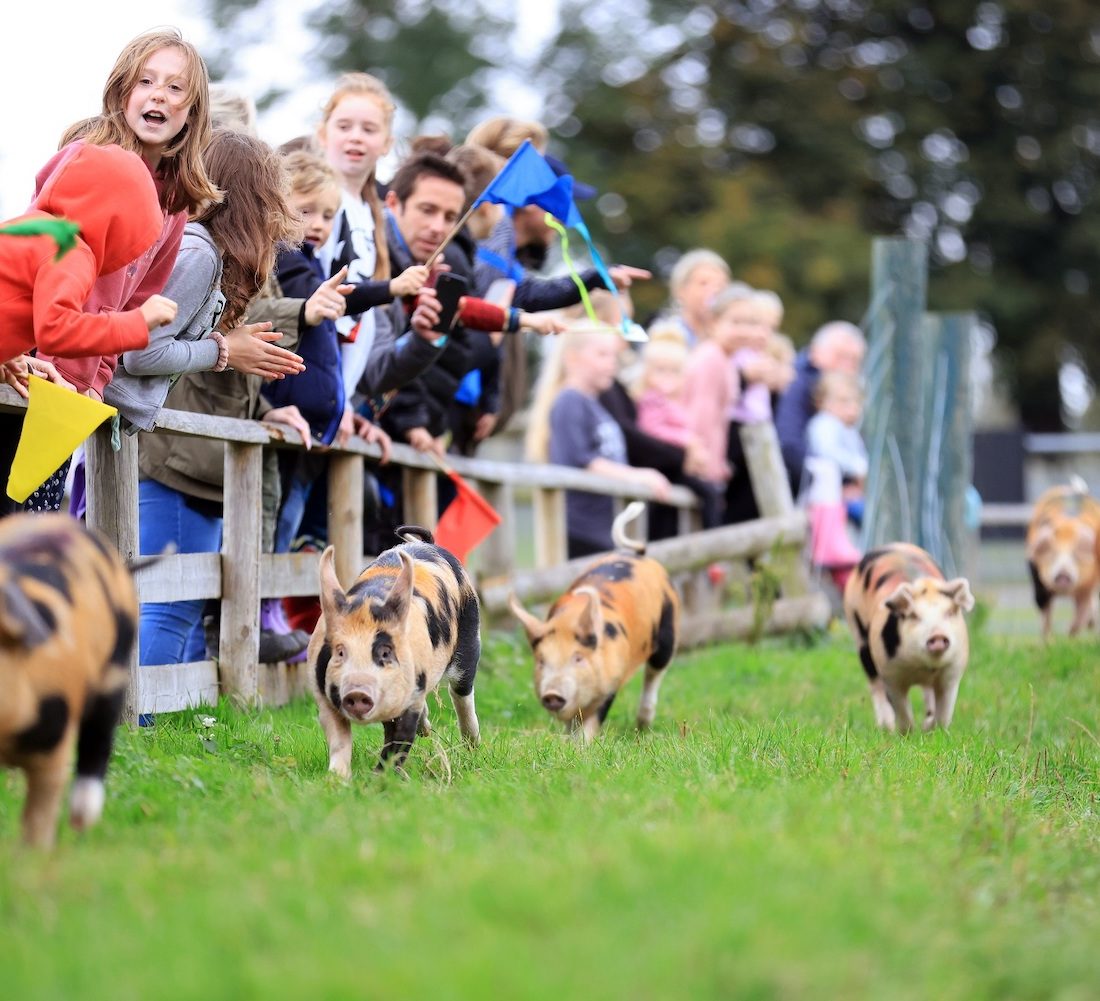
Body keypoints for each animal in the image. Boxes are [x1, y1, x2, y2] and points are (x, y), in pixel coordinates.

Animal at [0, 512, 136, 849]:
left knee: (98, 739)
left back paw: (80, 820)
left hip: (113, 672)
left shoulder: (55, 745)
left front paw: (34, 856)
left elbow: (40, 814)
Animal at [310, 528, 481, 778]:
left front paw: (381, 777)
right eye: (340, 652)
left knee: (461, 693)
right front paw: (336, 778)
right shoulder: (325, 695)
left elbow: (398, 740)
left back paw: (472, 745)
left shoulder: (411, 692)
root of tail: (427, 544)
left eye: (386, 653)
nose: (357, 691)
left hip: (470, 638)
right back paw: (427, 732)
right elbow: (339, 738)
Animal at [508, 501, 677, 743]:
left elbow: (594, 719)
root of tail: (638, 555)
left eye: (578, 658)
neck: (567, 621)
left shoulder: (611, 683)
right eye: (541, 661)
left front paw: (582, 745)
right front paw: (567, 744)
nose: (552, 694)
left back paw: (643, 726)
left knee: (654, 674)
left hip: (667, 631)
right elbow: (572, 723)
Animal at [844, 545, 976, 734]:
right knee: (875, 685)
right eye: (914, 616)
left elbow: (944, 711)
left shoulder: (952, 670)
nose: (938, 635)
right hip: (860, 637)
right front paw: (906, 734)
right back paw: (886, 727)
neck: (923, 667)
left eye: (950, 612)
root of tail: (890, 546)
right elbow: (901, 708)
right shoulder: (890, 674)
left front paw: (935, 732)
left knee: (928, 692)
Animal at [1020, 479, 1100, 638]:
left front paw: (1068, 636)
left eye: (1076, 554)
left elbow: (1081, 613)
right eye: (1052, 553)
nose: (1063, 575)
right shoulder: (1037, 577)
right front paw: (1049, 640)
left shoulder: (1087, 587)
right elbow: (1043, 609)